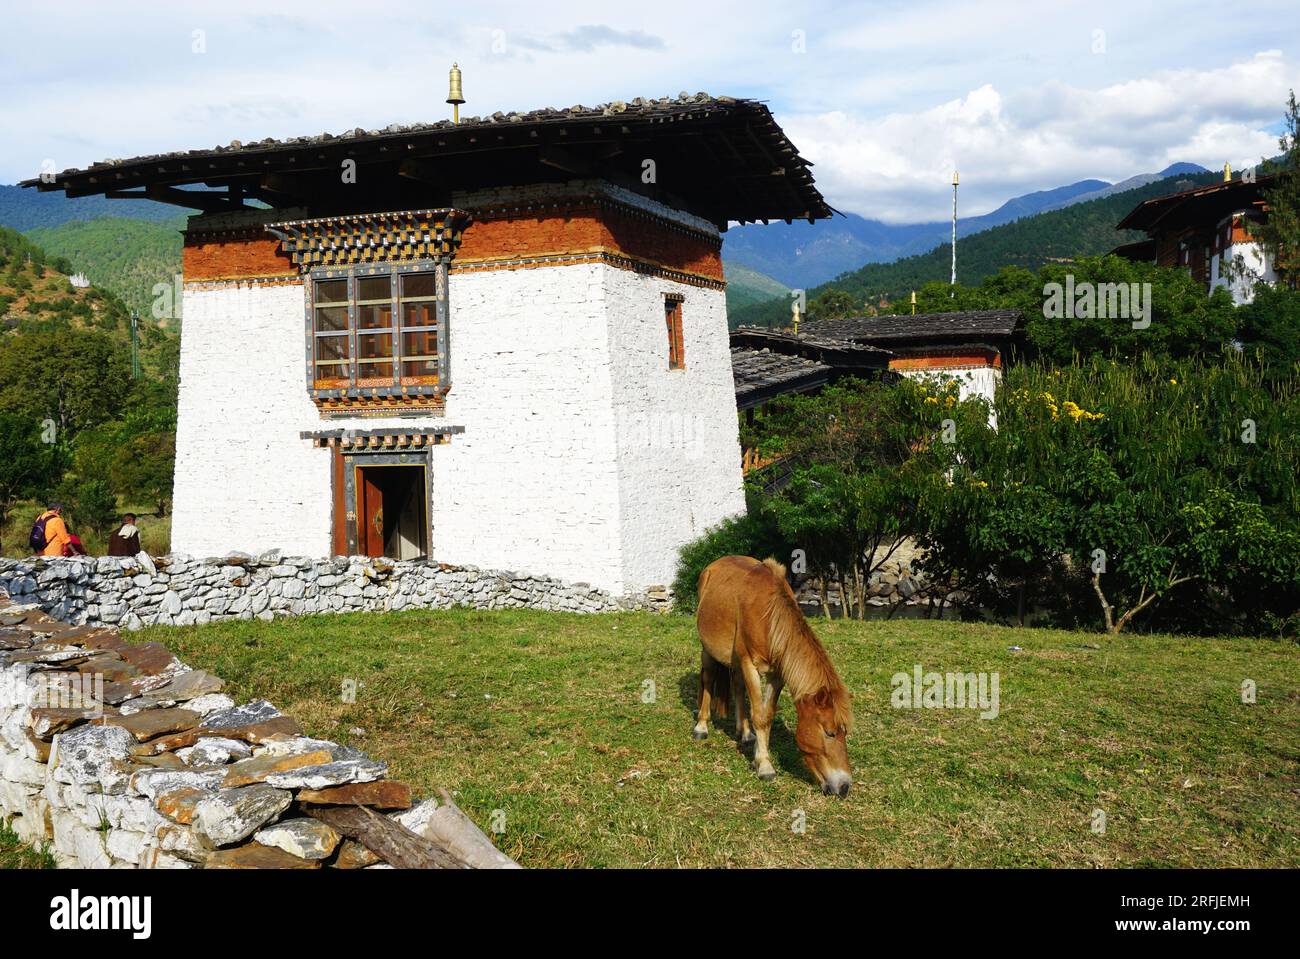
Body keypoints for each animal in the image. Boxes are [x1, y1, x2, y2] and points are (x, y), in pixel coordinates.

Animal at [696, 553, 857, 790]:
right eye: (830, 732)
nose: (844, 786)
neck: (768, 616)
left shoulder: (777, 673)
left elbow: (767, 714)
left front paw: (758, 750)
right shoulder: (750, 665)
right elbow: (760, 716)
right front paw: (765, 766)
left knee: (737, 686)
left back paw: (745, 733)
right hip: (707, 649)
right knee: (708, 680)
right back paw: (701, 726)